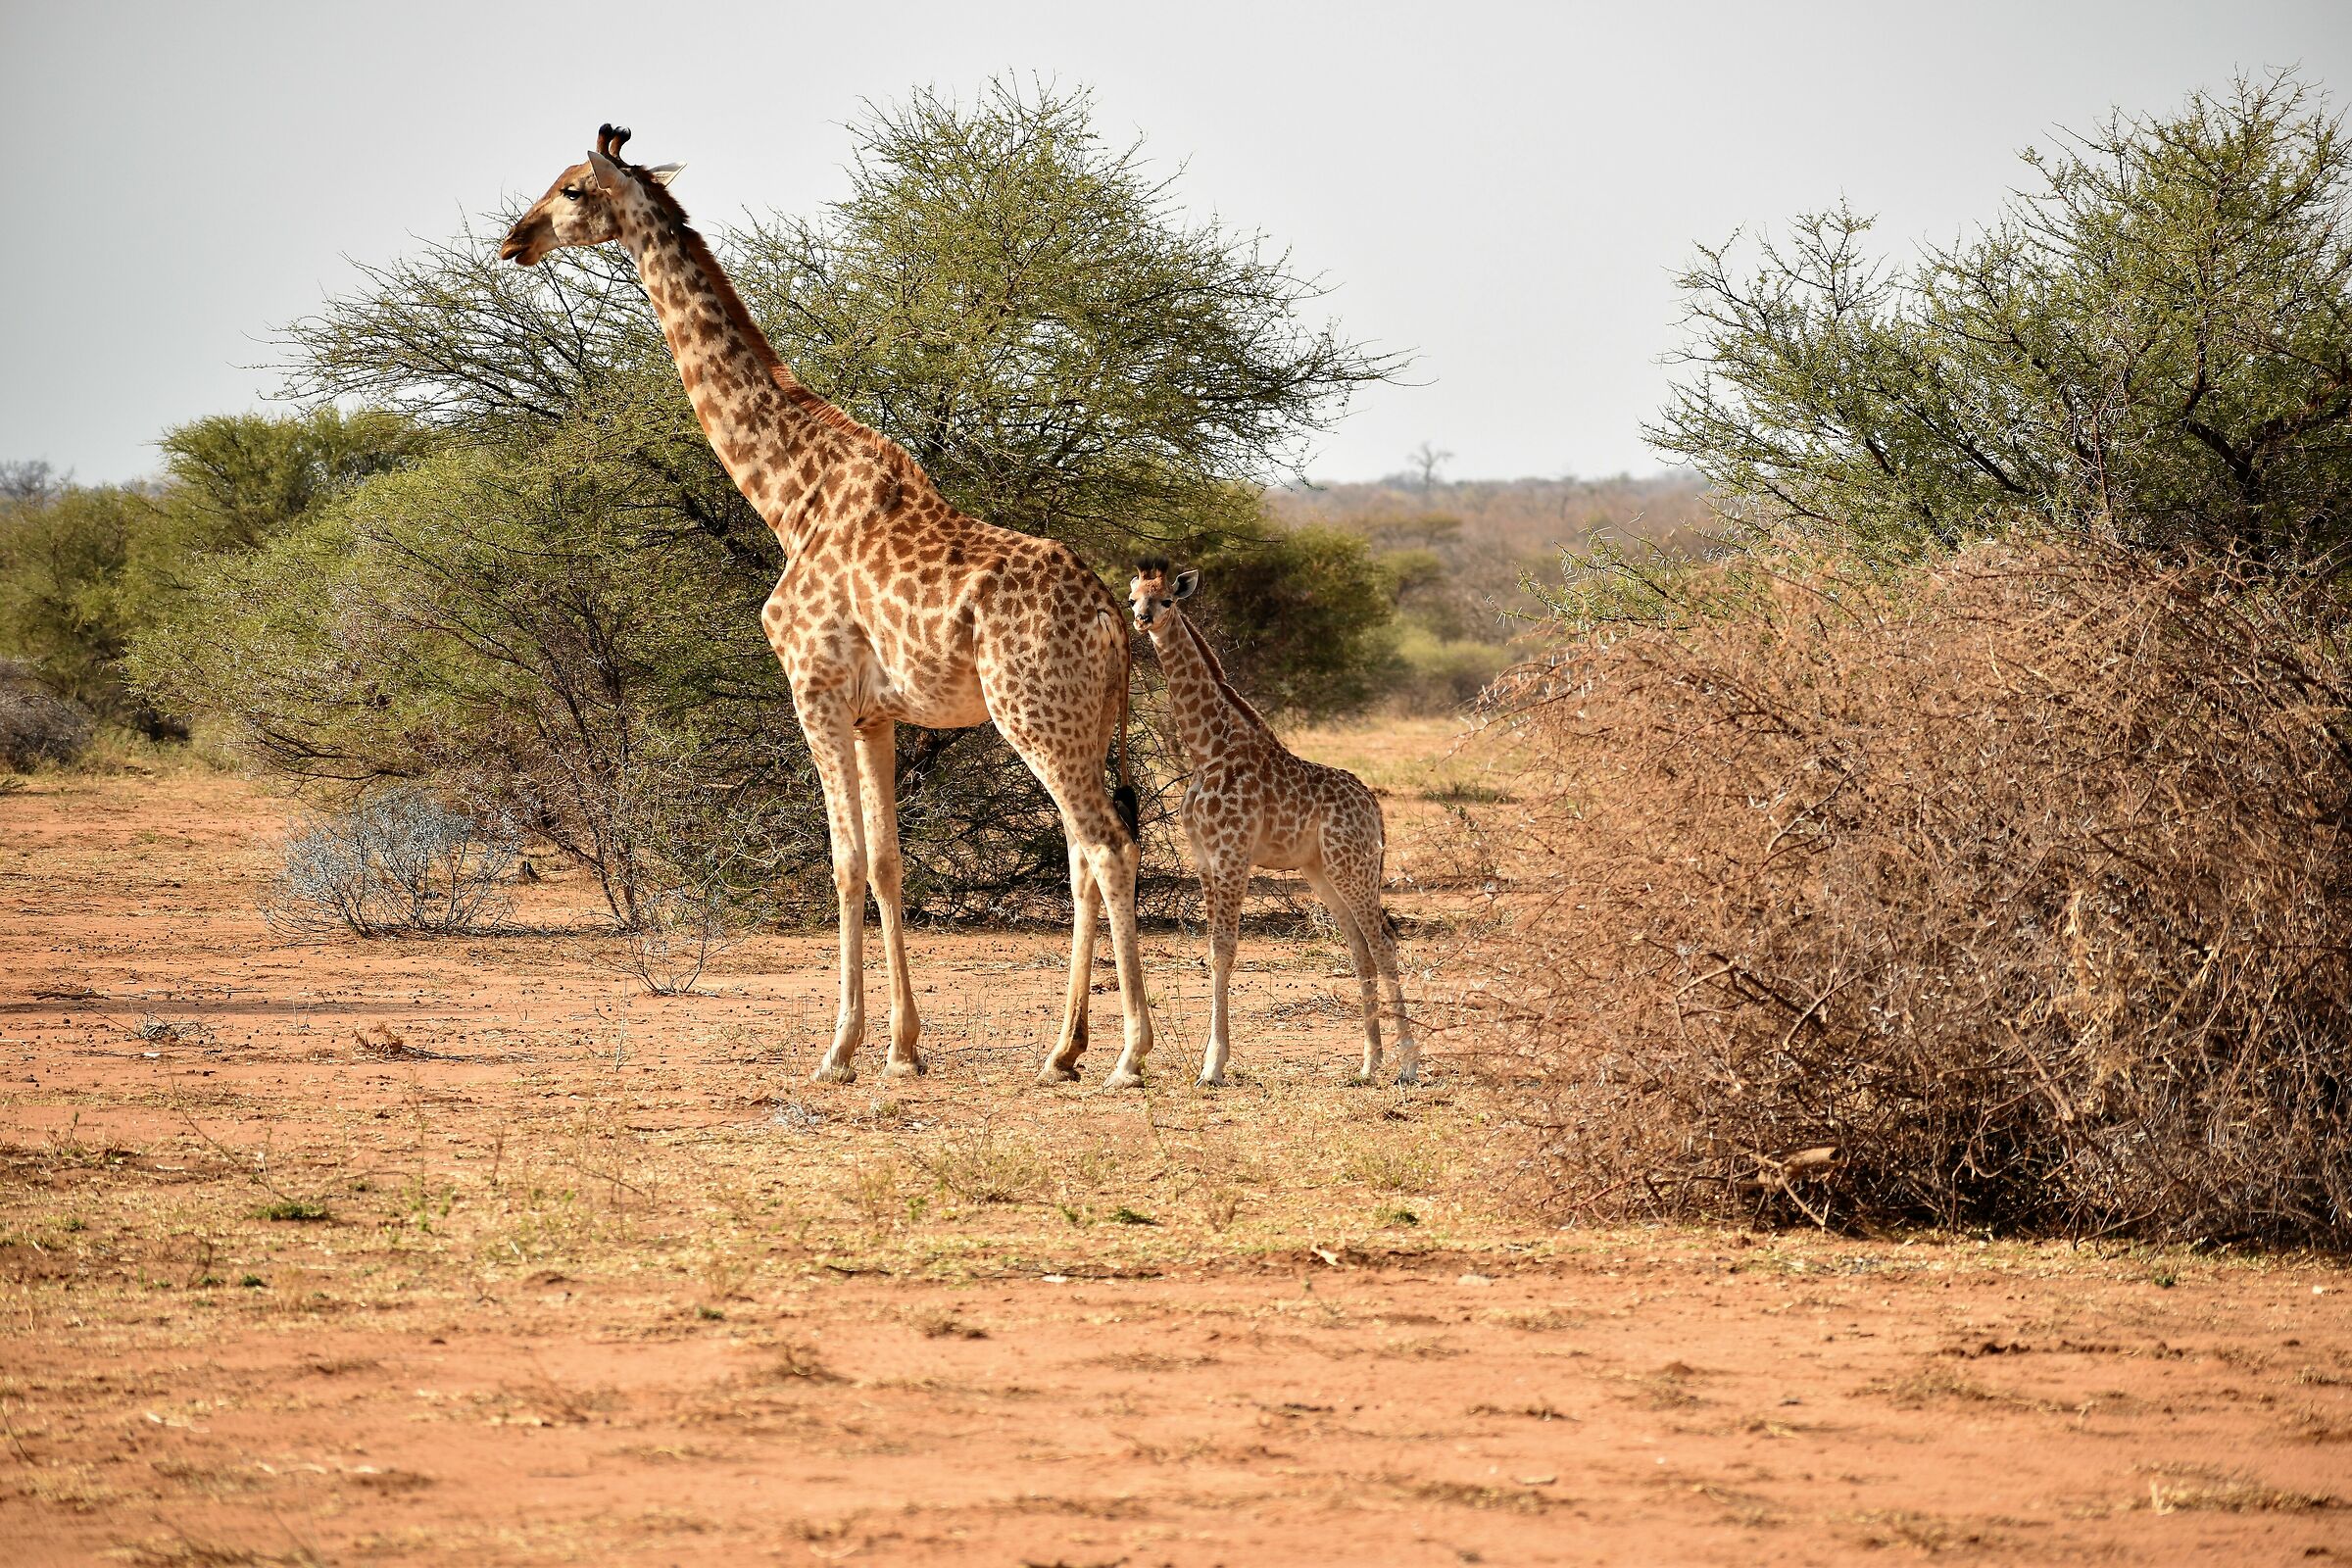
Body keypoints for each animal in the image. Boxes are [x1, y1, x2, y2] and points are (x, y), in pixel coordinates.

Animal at [501, 125, 1155, 1087]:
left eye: (573, 189)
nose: (515, 239)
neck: (787, 494)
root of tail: (1113, 618)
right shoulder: (876, 714)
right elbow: (886, 864)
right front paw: (902, 1047)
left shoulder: (814, 689)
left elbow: (842, 864)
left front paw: (839, 1048)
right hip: (1082, 721)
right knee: (1083, 851)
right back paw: (1061, 1049)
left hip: (1033, 712)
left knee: (1107, 845)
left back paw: (1130, 1053)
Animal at [1127, 561, 1418, 1087]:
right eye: (1133, 597)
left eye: (1168, 600)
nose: (1143, 619)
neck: (1208, 748)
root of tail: (1375, 808)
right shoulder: (1205, 858)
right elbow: (1212, 950)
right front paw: (1212, 1061)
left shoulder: (1233, 853)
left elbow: (1225, 949)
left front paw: (1213, 1067)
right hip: (1322, 873)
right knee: (1359, 947)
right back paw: (1369, 1065)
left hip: (1354, 868)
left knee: (1383, 943)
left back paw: (1408, 1064)